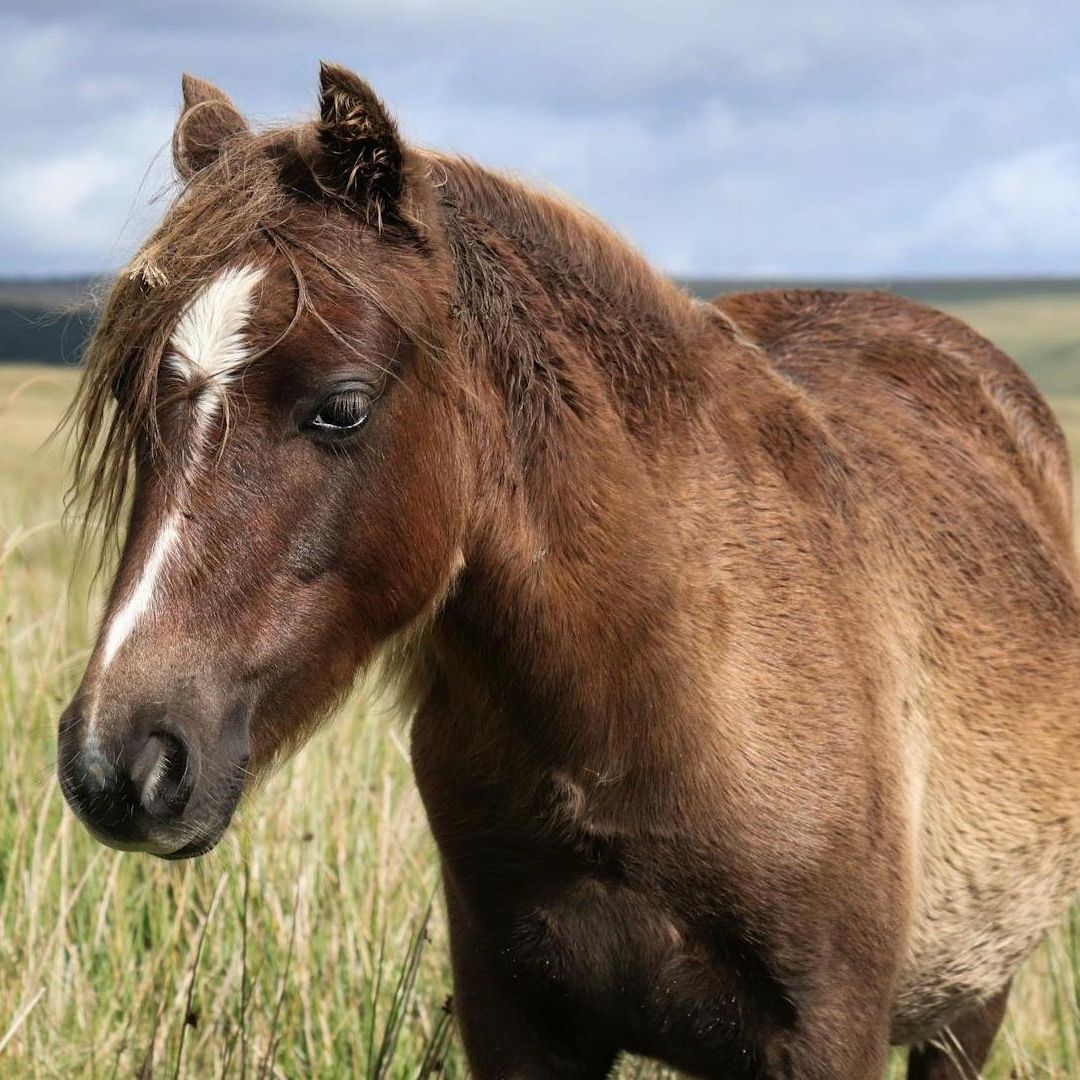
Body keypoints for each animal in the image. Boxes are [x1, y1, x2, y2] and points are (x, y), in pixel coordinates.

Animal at [56, 64, 1080, 1079]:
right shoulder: (517, 1023)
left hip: (970, 1003)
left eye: (341, 407)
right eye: (134, 400)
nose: (117, 763)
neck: (650, 698)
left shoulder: (827, 1036)